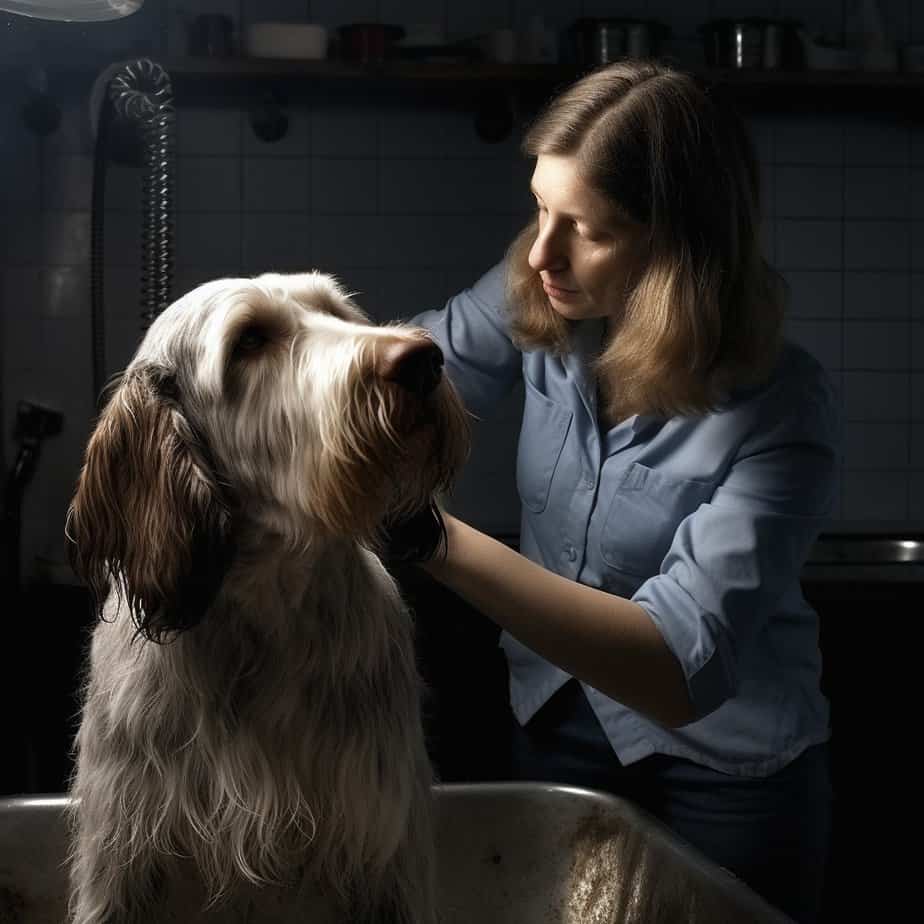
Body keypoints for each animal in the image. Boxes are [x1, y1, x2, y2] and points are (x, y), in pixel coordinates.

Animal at [65, 272, 470, 924]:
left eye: (338, 312)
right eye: (250, 341)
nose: (423, 360)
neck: (266, 617)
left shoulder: (387, 857)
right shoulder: (119, 857)